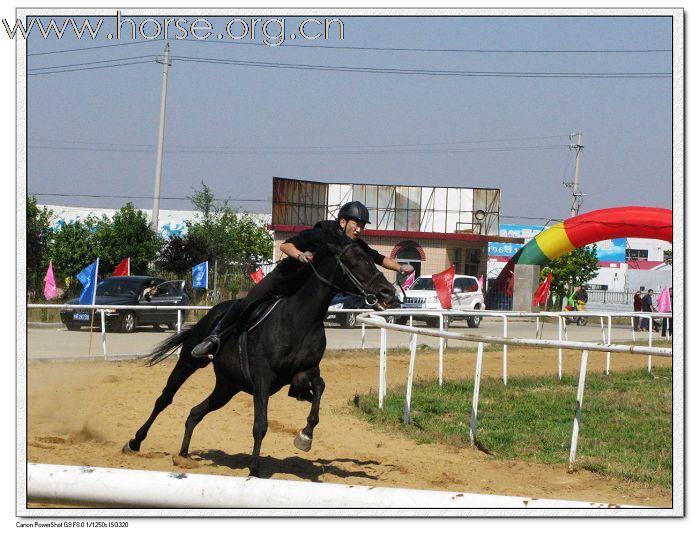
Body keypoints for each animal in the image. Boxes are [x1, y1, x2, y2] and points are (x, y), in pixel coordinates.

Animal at [123, 239, 396, 476]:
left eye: (370, 259)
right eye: (354, 262)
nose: (388, 291)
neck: (301, 319)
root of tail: (211, 314)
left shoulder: (304, 373)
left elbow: (318, 391)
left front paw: (305, 436)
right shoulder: (263, 378)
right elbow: (261, 424)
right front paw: (254, 468)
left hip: (227, 387)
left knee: (195, 412)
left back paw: (183, 455)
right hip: (190, 362)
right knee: (164, 399)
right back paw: (135, 442)